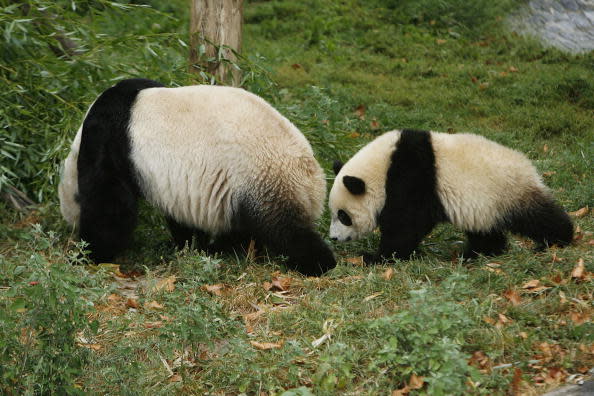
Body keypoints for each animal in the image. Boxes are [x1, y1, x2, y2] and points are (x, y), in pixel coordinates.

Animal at [60, 77, 338, 276]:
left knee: (285, 230)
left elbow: (110, 206)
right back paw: (224, 248)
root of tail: (313, 181)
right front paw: (188, 245)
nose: (70, 227)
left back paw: (318, 264)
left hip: (263, 179)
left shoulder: (111, 141)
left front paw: (88, 254)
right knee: (247, 228)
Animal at [326, 128, 572, 262]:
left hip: (508, 192)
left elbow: (404, 226)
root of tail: (531, 170)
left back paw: (559, 239)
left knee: (538, 217)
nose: (333, 238)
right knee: (485, 232)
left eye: (343, 216)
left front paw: (377, 257)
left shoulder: (410, 178)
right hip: (485, 207)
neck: (382, 167)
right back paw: (478, 254)